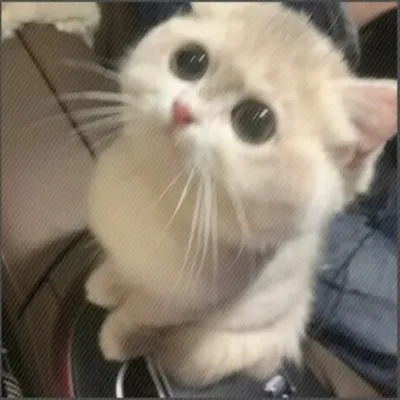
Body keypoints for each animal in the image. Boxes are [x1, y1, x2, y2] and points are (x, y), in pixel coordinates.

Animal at [85, 3, 397, 387]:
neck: (159, 196)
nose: (182, 110)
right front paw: (104, 283)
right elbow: (119, 268)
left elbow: (139, 310)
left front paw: (115, 334)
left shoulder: (182, 305)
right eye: (190, 61)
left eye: (255, 122)